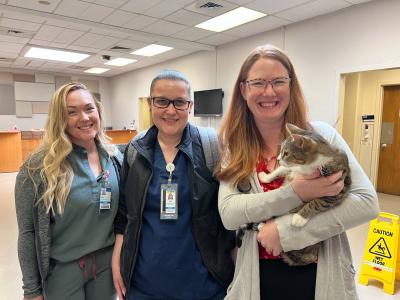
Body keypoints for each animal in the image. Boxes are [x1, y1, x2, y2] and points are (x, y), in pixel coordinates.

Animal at [236, 122, 352, 264]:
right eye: (281, 151)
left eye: (286, 153)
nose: (278, 159)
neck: (307, 168)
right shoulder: (293, 168)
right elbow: (280, 170)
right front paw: (266, 177)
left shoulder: (339, 188)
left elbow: (317, 202)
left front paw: (300, 217)